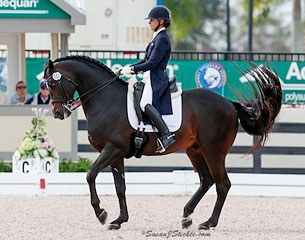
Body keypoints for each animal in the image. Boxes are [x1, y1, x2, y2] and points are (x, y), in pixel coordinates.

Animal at [43, 55, 280, 231]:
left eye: (52, 83)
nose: (58, 113)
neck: (105, 99)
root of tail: (230, 103)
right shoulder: (115, 153)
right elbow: (120, 187)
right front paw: (119, 220)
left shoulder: (112, 149)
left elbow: (90, 174)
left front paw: (101, 213)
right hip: (195, 151)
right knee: (206, 180)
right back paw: (186, 216)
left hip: (213, 151)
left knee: (223, 184)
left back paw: (208, 223)